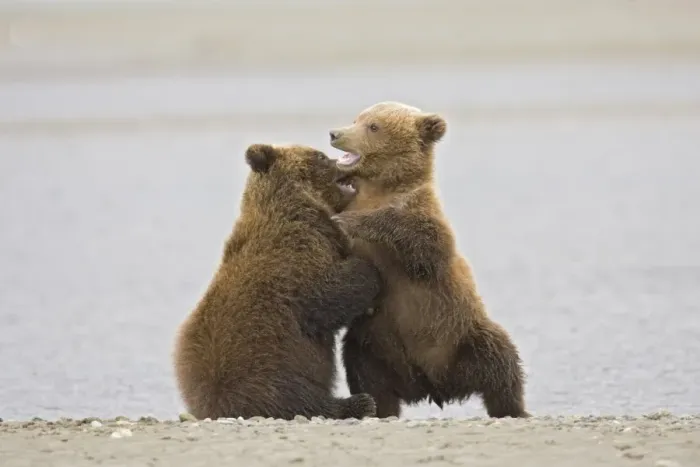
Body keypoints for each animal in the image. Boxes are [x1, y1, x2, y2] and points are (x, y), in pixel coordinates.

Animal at [173, 142, 382, 421]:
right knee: (298, 399)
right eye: (321, 156)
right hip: (271, 366)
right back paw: (357, 403)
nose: (341, 163)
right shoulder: (296, 257)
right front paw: (368, 272)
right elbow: (325, 298)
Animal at [328, 101, 530, 418]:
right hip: (374, 344)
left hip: (463, 336)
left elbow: (424, 243)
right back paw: (380, 408)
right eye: (356, 119)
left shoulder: (424, 221)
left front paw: (352, 222)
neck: (379, 189)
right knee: (366, 373)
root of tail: (433, 385)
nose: (335, 133)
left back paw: (512, 409)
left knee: (501, 361)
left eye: (373, 126)